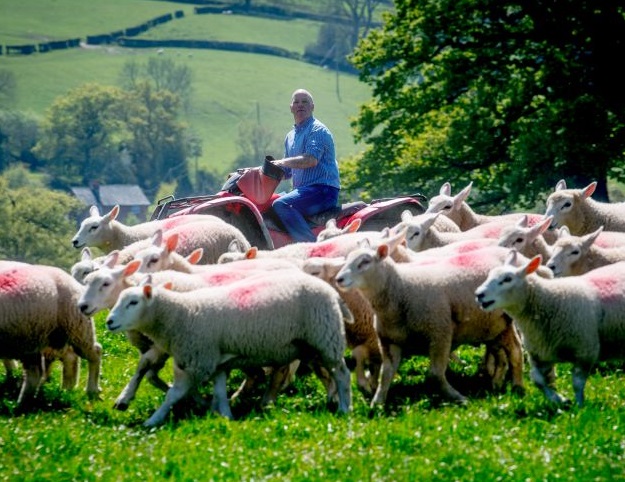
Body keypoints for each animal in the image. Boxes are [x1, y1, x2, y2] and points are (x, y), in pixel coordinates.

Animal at [105, 270, 354, 428]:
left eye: (133, 302)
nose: (109, 321)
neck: (182, 313)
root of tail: (333, 293)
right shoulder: (216, 360)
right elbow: (219, 390)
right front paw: (225, 415)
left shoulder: (198, 360)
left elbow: (173, 394)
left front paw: (153, 420)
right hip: (310, 345)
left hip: (326, 338)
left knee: (342, 374)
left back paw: (345, 408)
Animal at [334, 237, 524, 406]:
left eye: (364, 262)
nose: (339, 279)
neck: (401, 288)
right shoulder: (389, 342)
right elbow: (385, 374)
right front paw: (377, 403)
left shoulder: (439, 333)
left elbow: (434, 375)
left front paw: (458, 397)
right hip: (494, 326)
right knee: (503, 352)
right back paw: (497, 383)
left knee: (516, 351)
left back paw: (517, 387)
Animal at [472, 250, 624, 404]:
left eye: (507, 279)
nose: (479, 294)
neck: (551, 301)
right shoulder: (541, 354)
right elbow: (537, 380)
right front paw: (560, 400)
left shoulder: (585, 352)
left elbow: (577, 383)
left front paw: (579, 405)